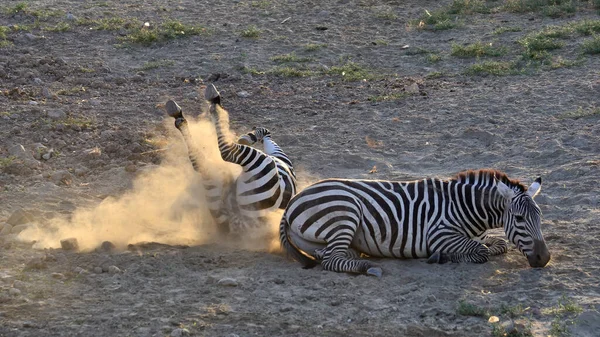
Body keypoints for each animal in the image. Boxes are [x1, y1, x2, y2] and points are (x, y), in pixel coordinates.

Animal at [165, 84, 296, 234]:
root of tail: (237, 222)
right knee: (202, 163)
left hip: (242, 176)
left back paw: (207, 103)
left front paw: (248, 137)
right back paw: (182, 114)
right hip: (216, 199)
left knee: (222, 153)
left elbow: (265, 134)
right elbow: (265, 134)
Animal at [278, 168, 552, 276]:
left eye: (539, 217)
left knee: (328, 255)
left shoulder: (481, 236)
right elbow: (481, 251)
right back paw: (367, 267)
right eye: (519, 218)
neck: (464, 207)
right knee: (331, 261)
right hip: (346, 212)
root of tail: (294, 200)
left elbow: (499, 244)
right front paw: (441, 257)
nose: (544, 259)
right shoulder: (439, 234)